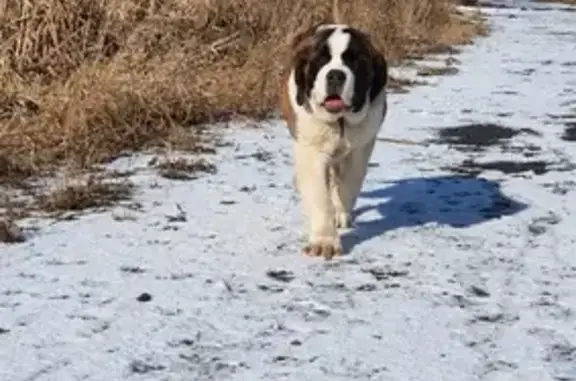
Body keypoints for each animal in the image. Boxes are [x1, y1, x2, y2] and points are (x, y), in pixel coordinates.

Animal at [278, 0, 388, 258]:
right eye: (320, 60)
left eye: (354, 61)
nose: (336, 75)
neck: (340, 121)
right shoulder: (311, 151)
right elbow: (319, 194)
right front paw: (324, 241)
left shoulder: (361, 148)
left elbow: (350, 181)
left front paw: (340, 212)